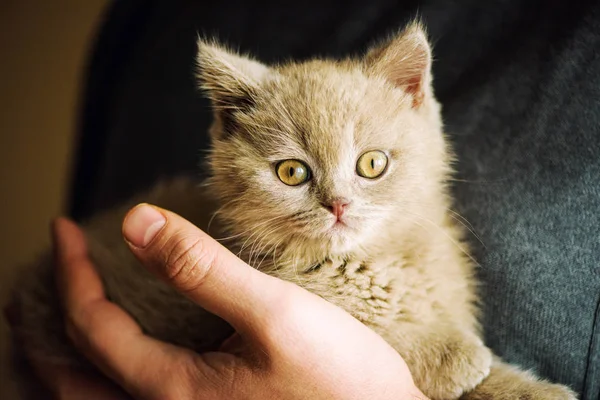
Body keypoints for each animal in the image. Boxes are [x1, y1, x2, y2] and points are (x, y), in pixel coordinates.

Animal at [11, 22, 576, 400]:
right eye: (291, 172)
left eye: (372, 163)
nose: (338, 204)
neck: (371, 264)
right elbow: (384, 333)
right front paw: (451, 354)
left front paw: (531, 389)